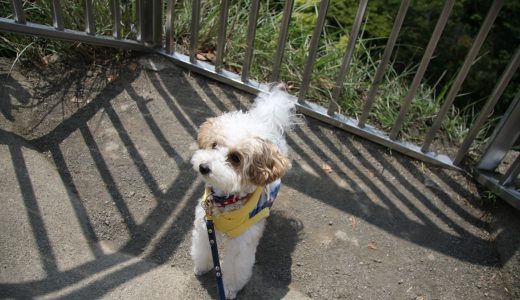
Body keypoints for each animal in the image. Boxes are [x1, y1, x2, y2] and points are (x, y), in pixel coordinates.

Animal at [191, 84, 296, 298]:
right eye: (214, 145)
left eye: (235, 158)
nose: (204, 167)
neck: (225, 201)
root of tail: (265, 121)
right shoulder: (205, 225)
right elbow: (203, 248)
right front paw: (202, 267)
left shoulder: (243, 240)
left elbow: (235, 267)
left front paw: (229, 288)